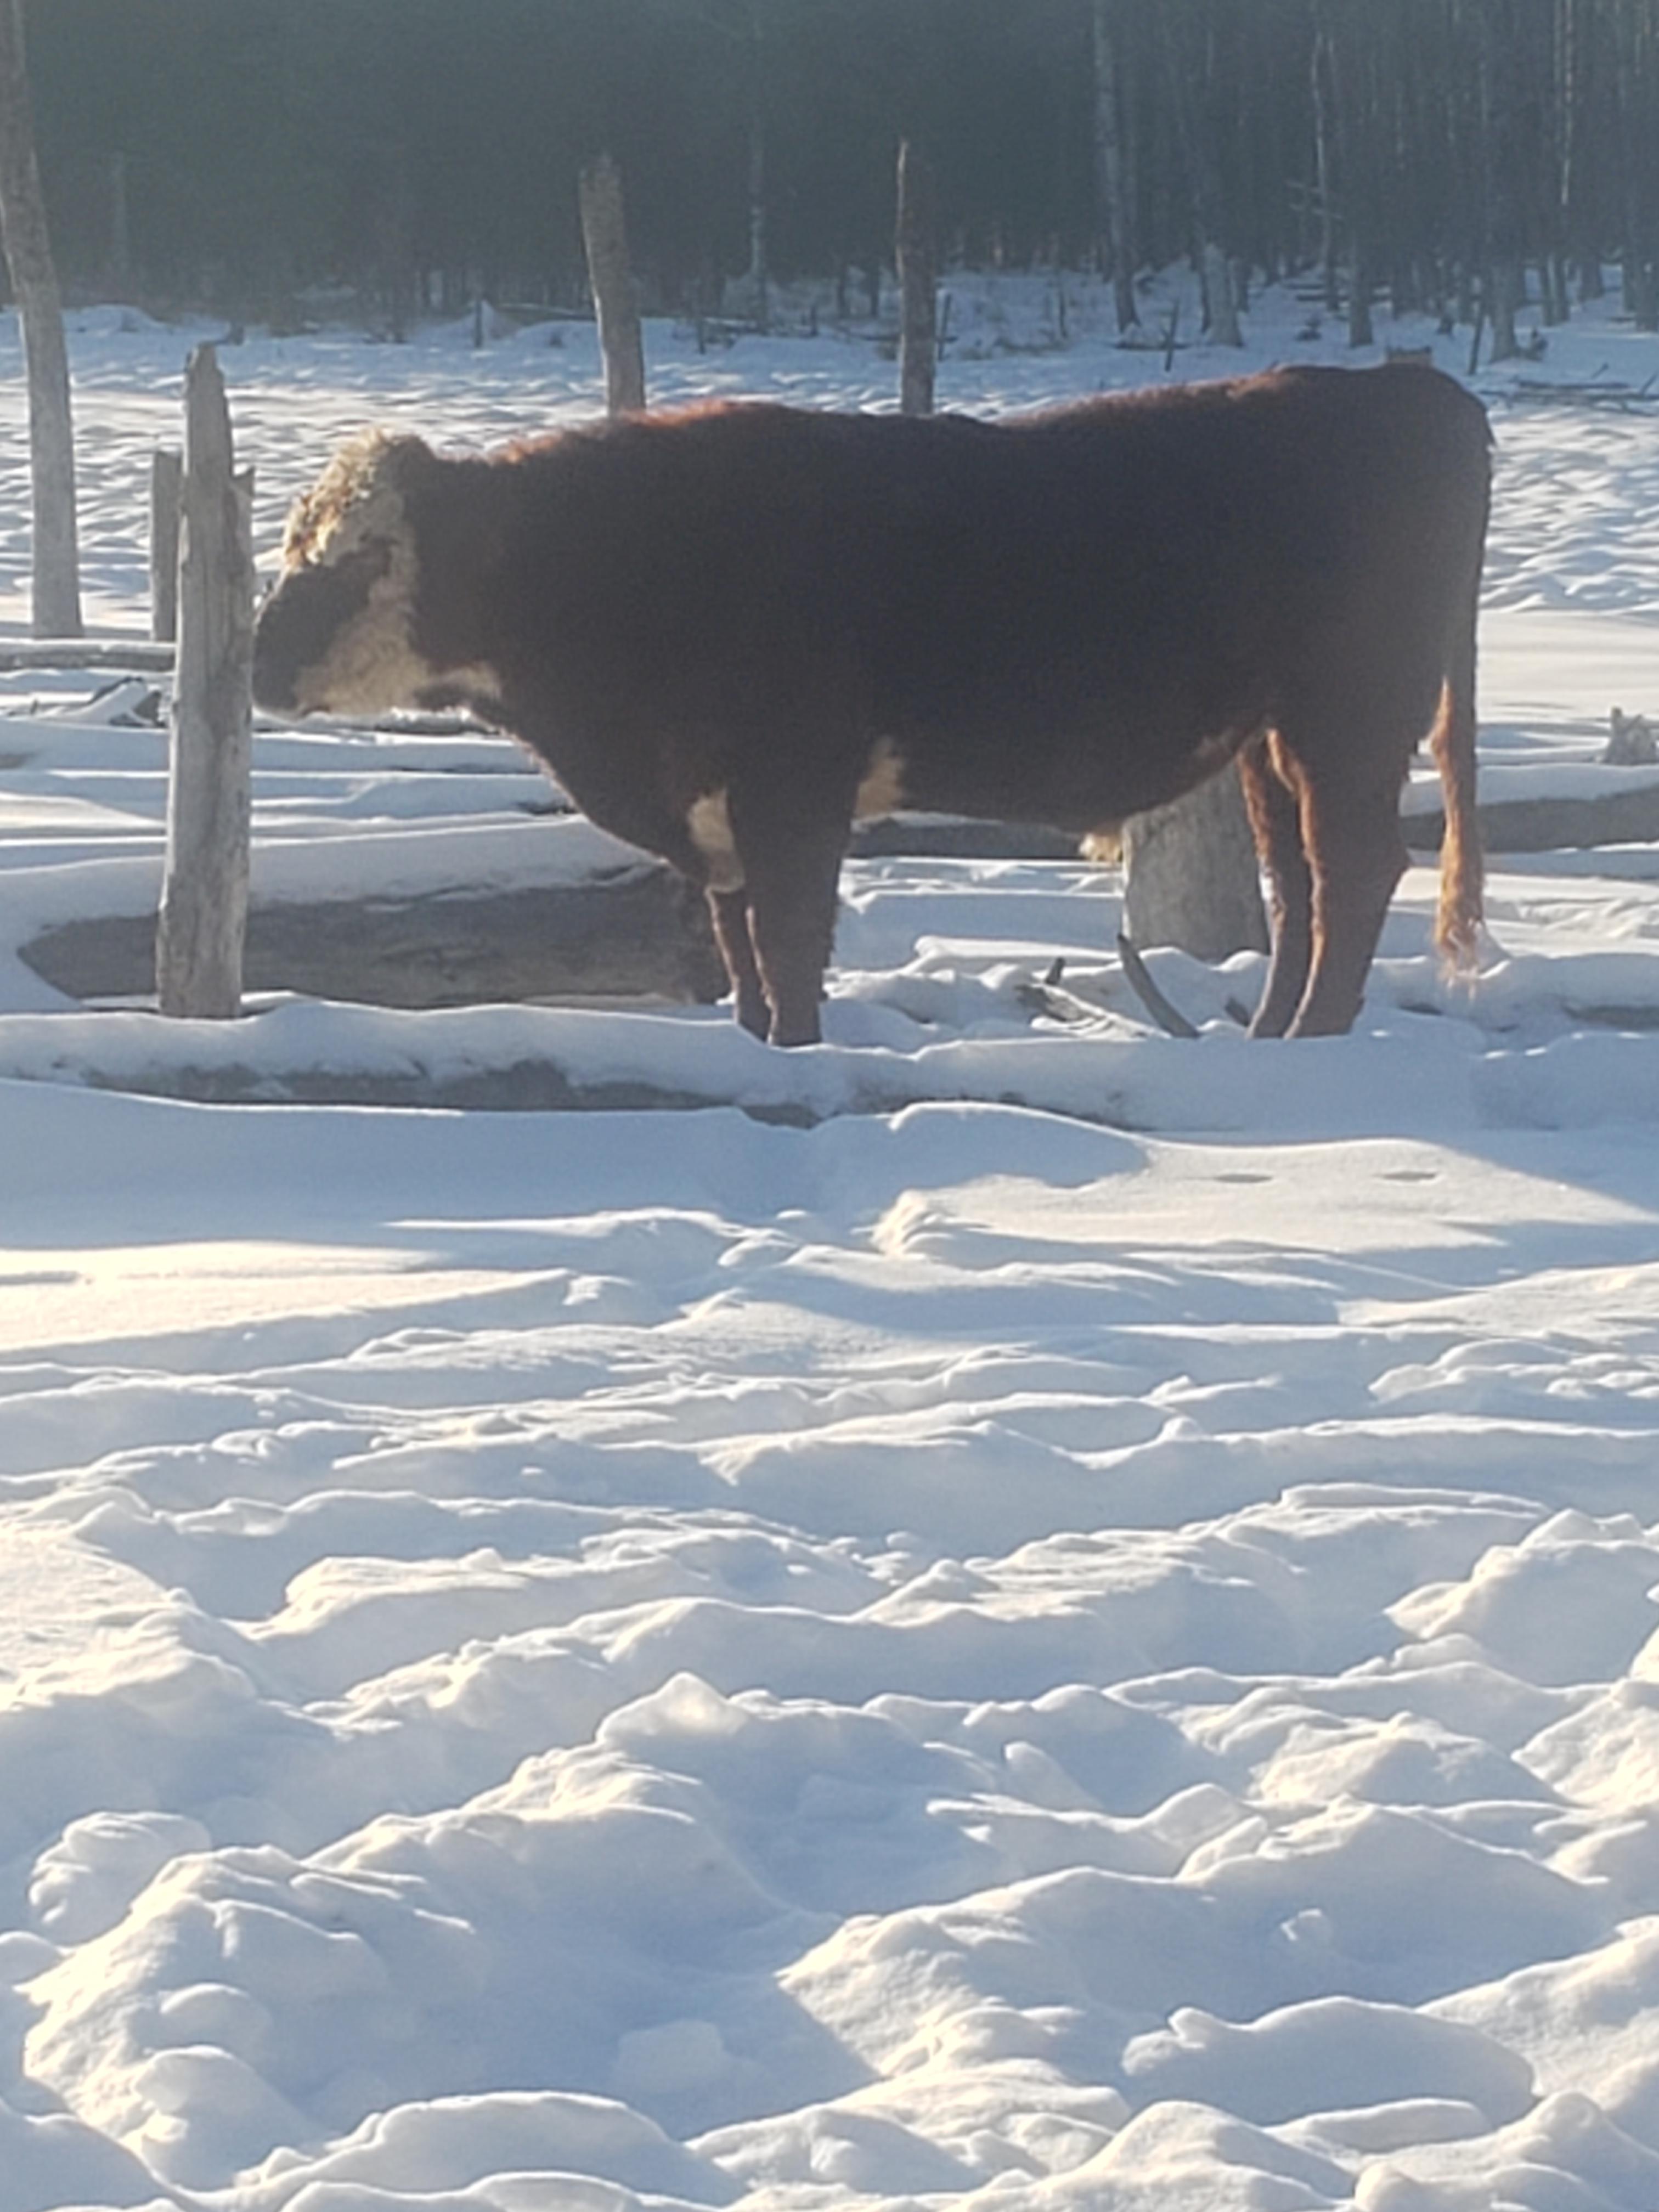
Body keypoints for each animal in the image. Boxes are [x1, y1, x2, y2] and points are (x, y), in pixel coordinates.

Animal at [256, 363, 1495, 1044]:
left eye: (364, 556)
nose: (260, 662)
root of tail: (1406, 385)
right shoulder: (716, 814)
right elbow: (741, 951)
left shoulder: (792, 786)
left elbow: (793, 942)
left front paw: (797, 1055)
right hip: (1272, 733)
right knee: (1300, 885)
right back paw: (1276, 1036)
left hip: (1352, 711)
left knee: (1354, 871)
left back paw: (1314, 1039)